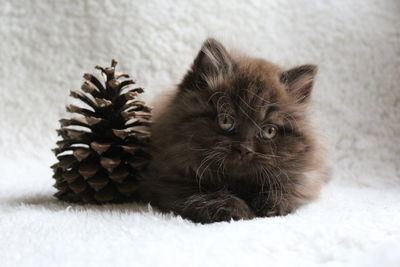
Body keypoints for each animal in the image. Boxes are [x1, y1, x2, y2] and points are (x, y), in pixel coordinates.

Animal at [138, 38, 328, 224]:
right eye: (226, 121)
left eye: (269, 131)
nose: (244, 149)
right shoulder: (165, 180)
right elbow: (202, 193)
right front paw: (237, 209)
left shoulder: (304, 179)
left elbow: (287, 188)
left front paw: (271, 205)